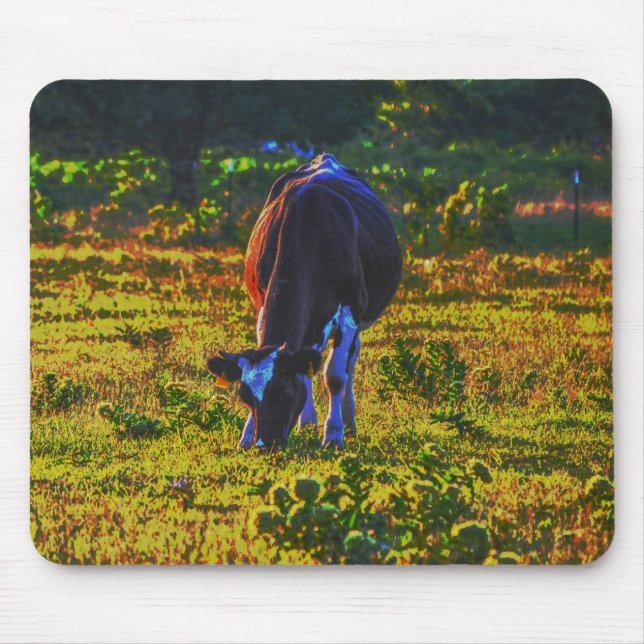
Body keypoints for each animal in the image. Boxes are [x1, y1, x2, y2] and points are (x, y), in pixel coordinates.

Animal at [207, 153, 402, 449]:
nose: (265, 444)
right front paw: (247, 434)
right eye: (244, 396)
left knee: (349, 361)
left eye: (282, 392)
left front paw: (333, 435)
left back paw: (348, 422)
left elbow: (335, 375)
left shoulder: (350, 310)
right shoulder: (263, 305)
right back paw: (308, 422)